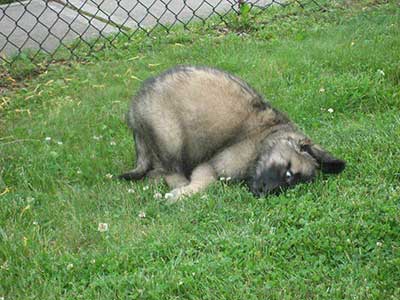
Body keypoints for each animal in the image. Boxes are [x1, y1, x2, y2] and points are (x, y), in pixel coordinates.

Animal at [118, 65, 344, 203]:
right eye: (288, 174)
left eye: (292, 186)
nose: (264, 193)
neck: (267, 139)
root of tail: (134, 111)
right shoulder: (211, 165)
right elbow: (207, 182)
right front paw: (184, 193)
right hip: (170, 136)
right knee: (169, 170)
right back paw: (179, 185)